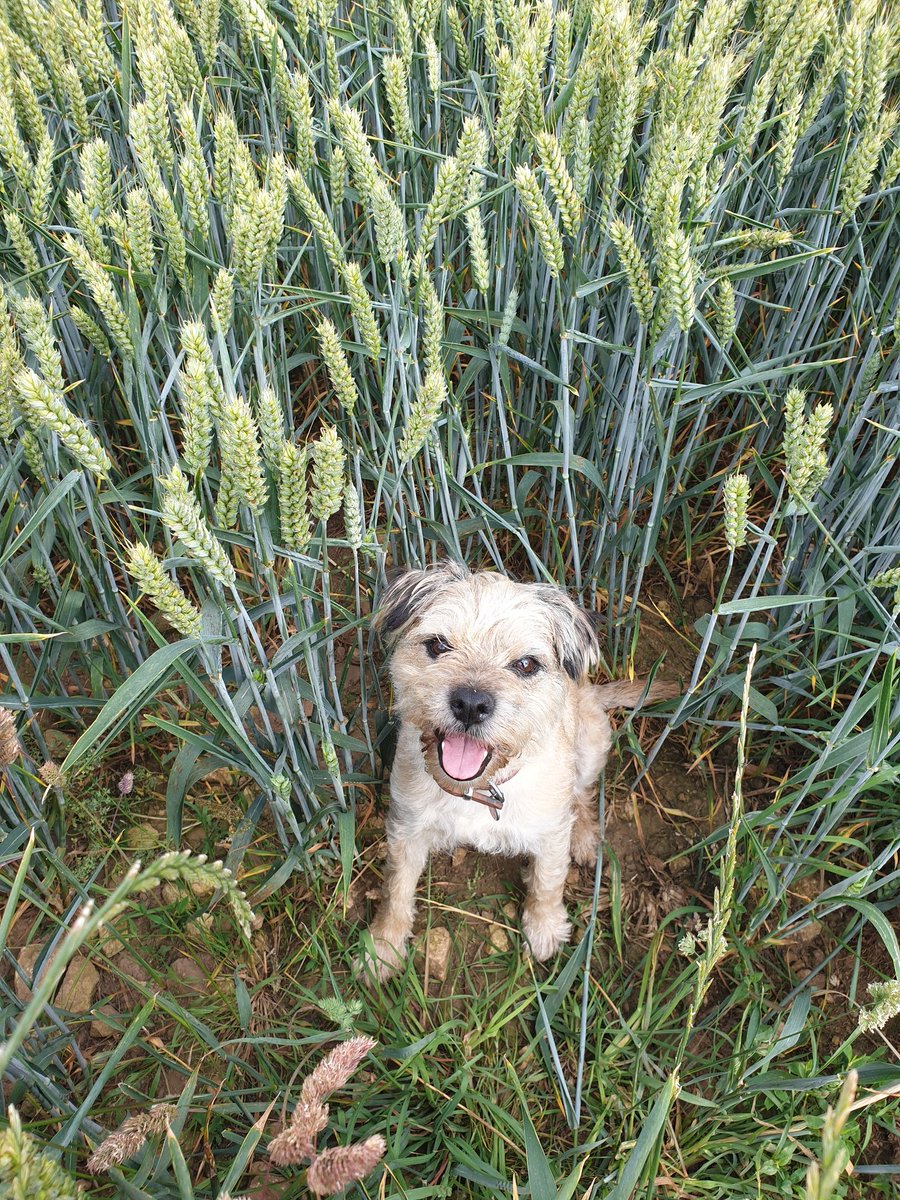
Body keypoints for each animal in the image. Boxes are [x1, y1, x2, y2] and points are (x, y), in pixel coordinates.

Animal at [360, 556, 676, 979]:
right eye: (438, 644)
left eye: (525, 664)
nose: (471, 703)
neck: (479, 789)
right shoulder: (406, 828)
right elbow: (396, 887)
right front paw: (382, 945)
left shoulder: (550, 833)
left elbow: (548, 881)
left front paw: (544, 928)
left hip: (591, 744)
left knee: (582, 794)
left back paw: (584, 836)